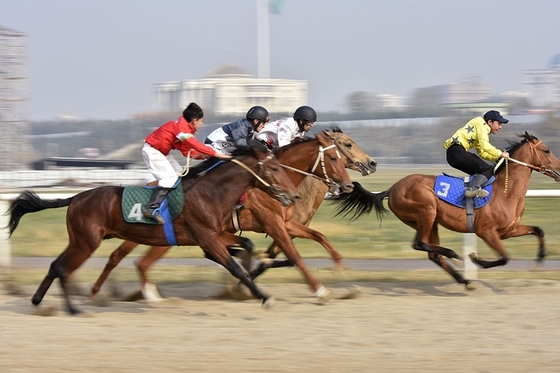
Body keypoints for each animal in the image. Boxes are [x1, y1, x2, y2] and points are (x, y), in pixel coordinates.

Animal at [5, 144, 302, 312]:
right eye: (275, 168)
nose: (294, 196)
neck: (211, 192)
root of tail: (76, 197)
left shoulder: (217, 234)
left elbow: (247, 246)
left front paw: (255, 270)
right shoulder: (208, 238)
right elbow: (235, 267)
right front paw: (263, 297)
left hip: (79, 240)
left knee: (56, 265)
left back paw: (37, 301)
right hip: (86, 242)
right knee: (63, 268)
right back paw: (72, 308)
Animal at [89, 129, 356, 300]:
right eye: (337, 154)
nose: (348, 185)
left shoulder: (286, 223)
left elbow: (318, 237)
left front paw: (341, 268)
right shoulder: (273, 224)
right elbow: (295, 256)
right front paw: (320, 290)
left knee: (127, 258)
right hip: (159, 237)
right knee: (134, 261)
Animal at [330, 132, 560, 286]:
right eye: (546, 150)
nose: (559, 169)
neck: (504, 192)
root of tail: (392, 189)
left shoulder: (508, 230)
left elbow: (539, 230)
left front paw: (539, 260)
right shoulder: (487, 231)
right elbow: (505, 258)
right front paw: (475, 259)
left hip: (431, 221)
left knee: (432, 253)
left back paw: (463, 279)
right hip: (427, 211)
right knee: (420, 244)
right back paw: (454, 255)